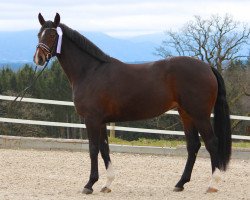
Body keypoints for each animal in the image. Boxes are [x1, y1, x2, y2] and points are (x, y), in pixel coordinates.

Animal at [33, 13, 232, 195]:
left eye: (53, 35)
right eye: (38, 34)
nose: (39, 58)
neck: (90, 71)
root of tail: (207, 67)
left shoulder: (92, 119)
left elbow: (93, 149)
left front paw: (89, 184)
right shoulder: (101, 121)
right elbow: (104, 148)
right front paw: (107, 184)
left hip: (200, 115)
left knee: (212, 143)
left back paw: (212, 184)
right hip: (186, 114)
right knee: (193, 146)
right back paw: (180, 183)